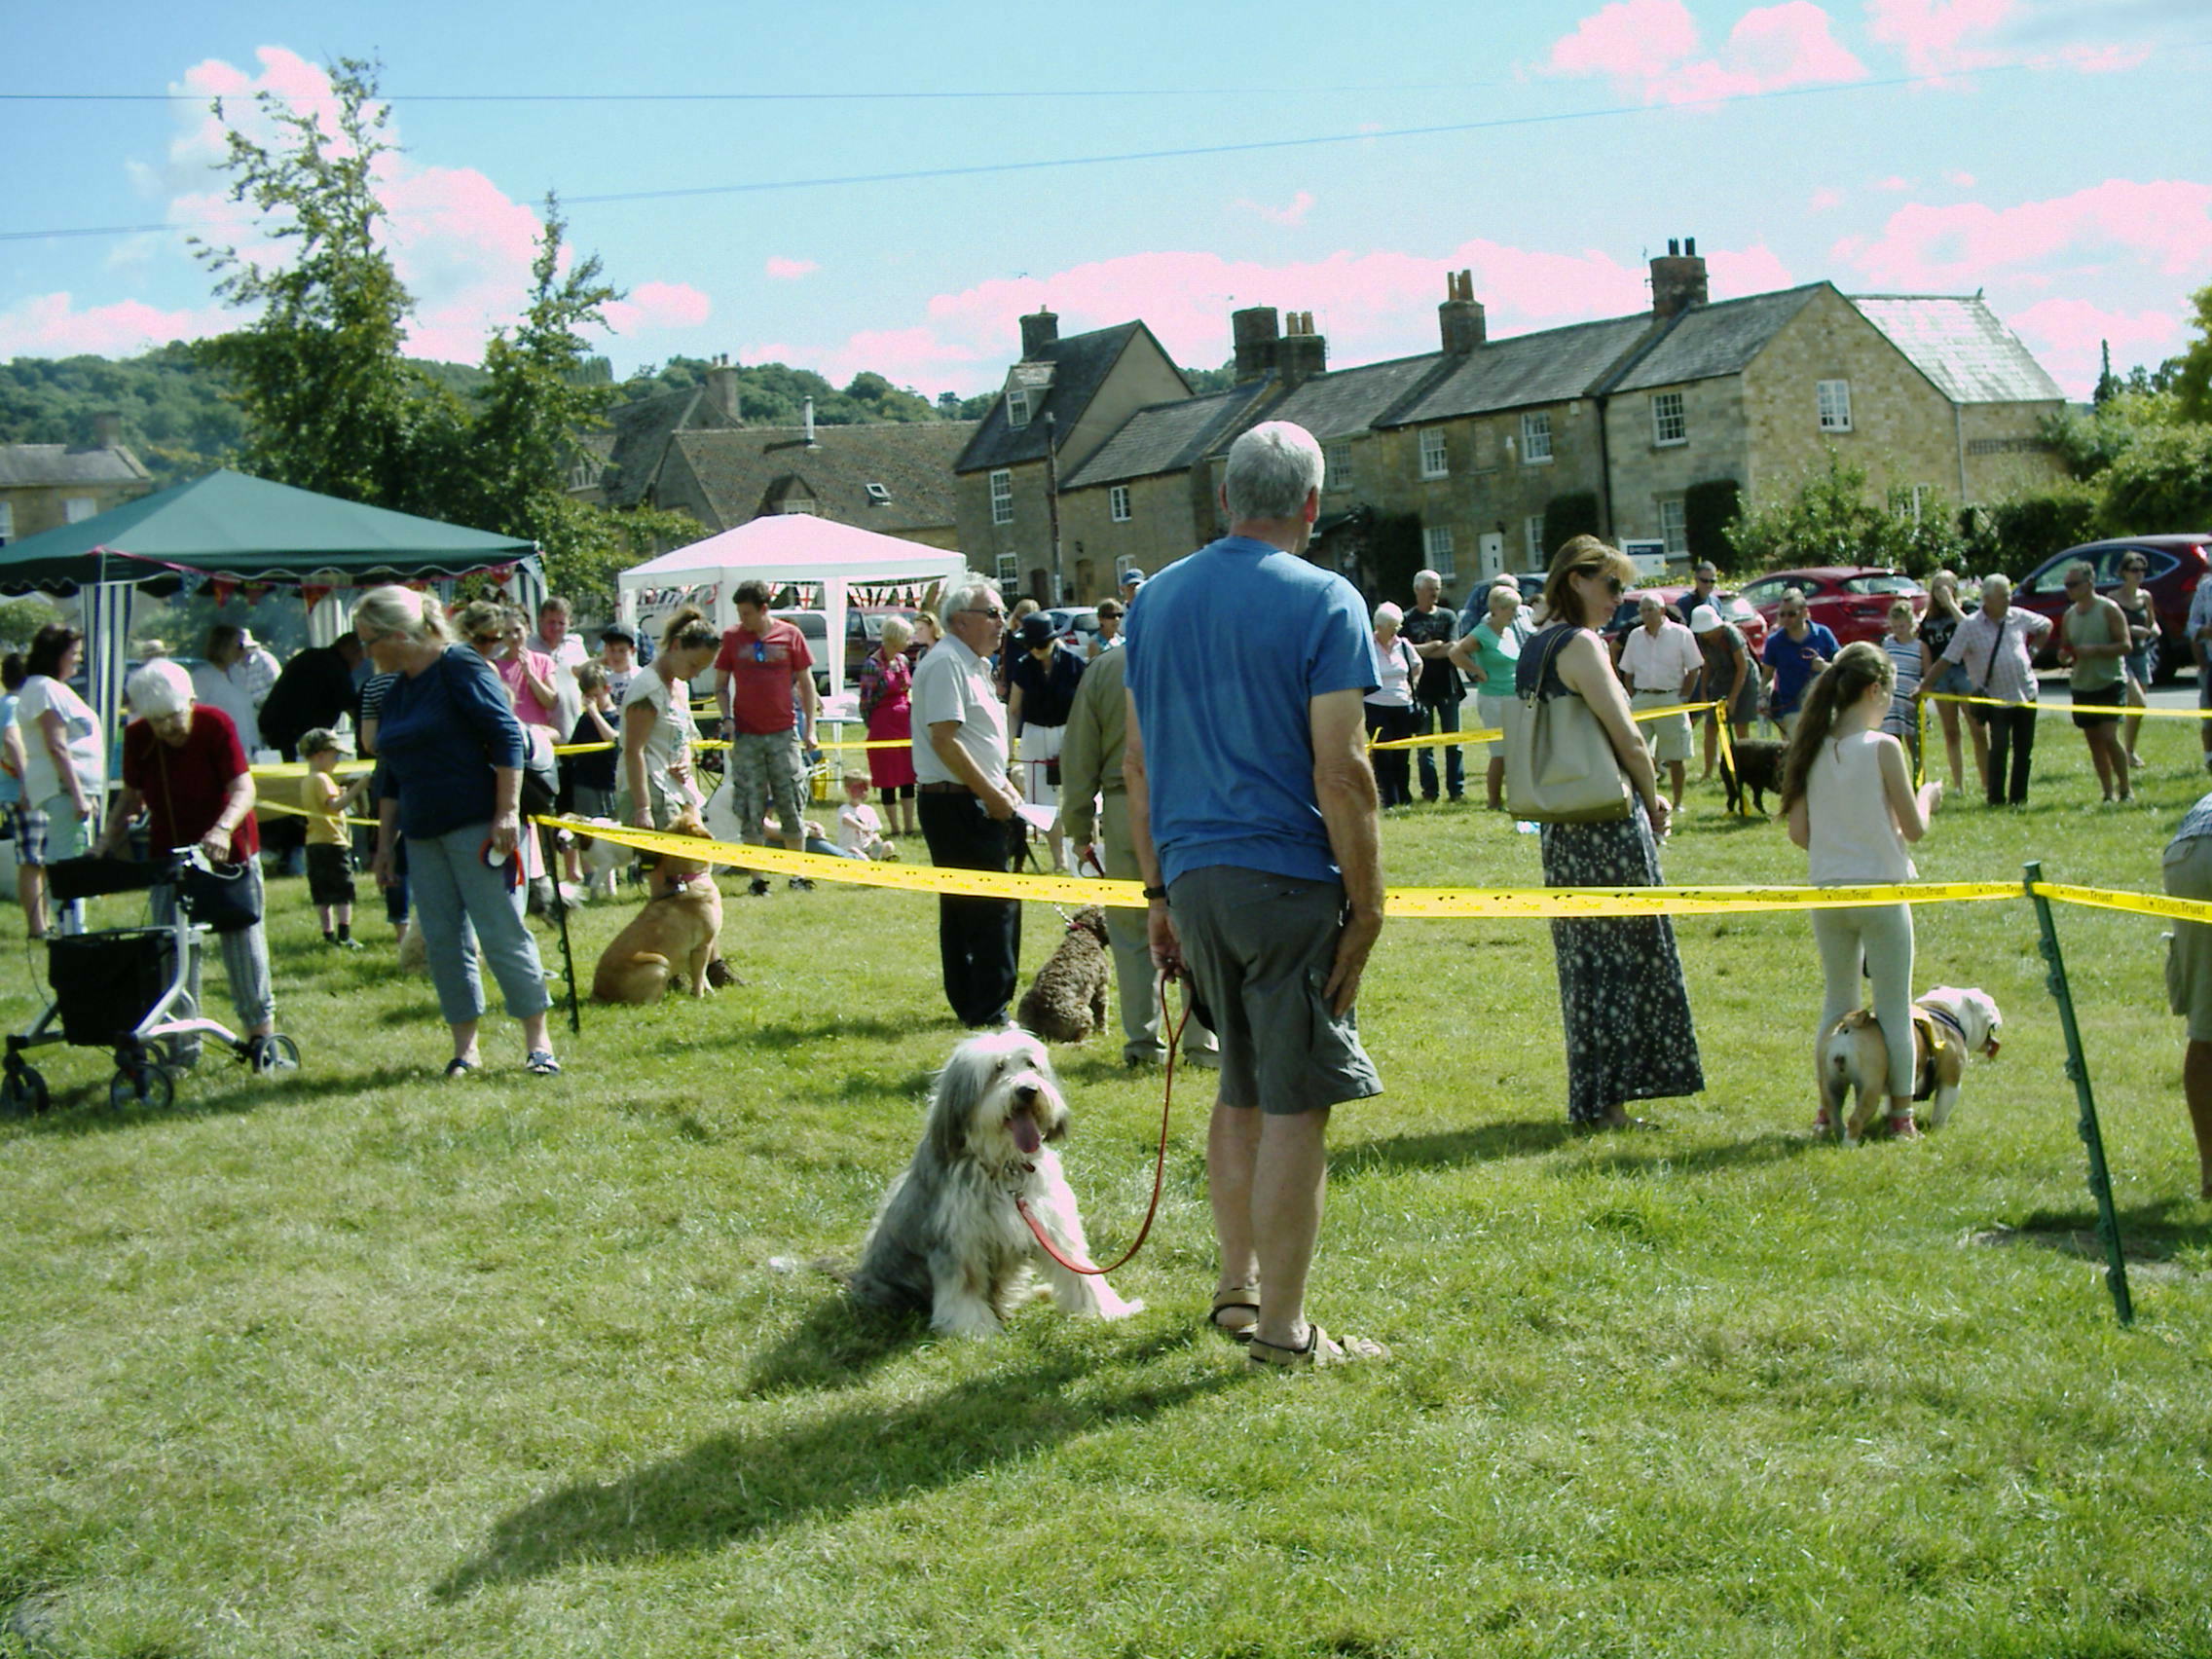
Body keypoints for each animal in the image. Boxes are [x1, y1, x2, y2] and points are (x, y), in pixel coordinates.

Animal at [588, 809, 725, 999]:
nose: (686, 804)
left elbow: (703, 977)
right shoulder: (701, 947)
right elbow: (700, 976)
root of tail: (599, 993)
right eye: (691, 815)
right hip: (659, 963)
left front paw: (708, 992)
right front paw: (700, 997)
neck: (687, 879)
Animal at [849, 1026, 1150, 1336]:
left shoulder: (1054, 1227)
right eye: (997, 1069)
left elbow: (1080, 1272)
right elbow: (964, 1288)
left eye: (1030, 1064)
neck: (1006, 1167)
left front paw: (1109, 1310)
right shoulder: (959, 1241)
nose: (1028, 1091)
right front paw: (973, 1330)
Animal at [1823, 986, 1999, 1141]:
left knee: (1834, 1113)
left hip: (1831, 1084)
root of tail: (1849, 1029)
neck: (1946, 1010)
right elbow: (1942, 1108)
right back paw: (1850, 1144)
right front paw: (1939, 1129)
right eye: (1992, 1005)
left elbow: (1893, 1103)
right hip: (1870, 1089)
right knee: (1856, 1120)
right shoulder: (1950, 1081)